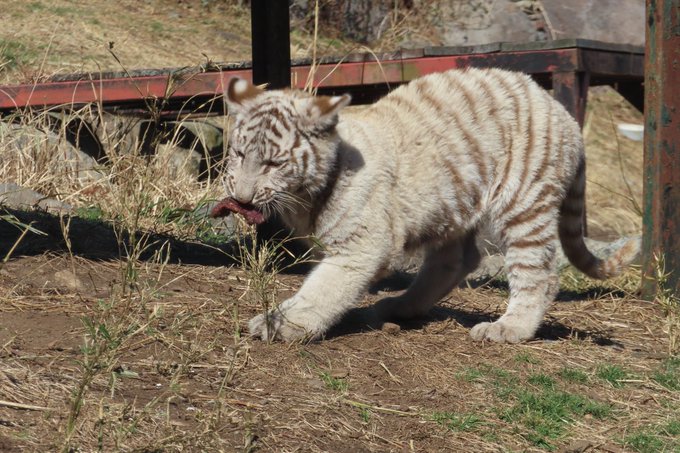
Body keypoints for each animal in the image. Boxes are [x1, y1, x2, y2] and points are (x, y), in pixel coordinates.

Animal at [216, 68, 640, 343]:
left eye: (274, 164)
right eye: (238, 154)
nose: (242, 198)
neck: (310, 190)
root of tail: (564, 115)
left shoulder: (362, 245)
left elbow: (323, 289)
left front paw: (283, 325)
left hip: (524, 205)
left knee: (539, 274)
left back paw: (509, 329)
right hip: (453, 201)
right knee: (456, 261)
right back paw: (399, 307)